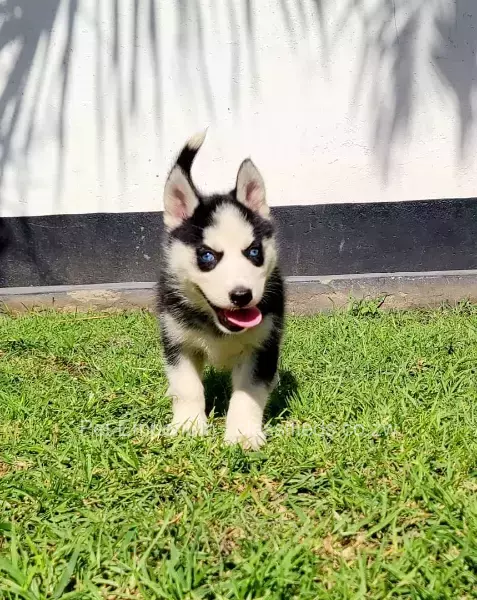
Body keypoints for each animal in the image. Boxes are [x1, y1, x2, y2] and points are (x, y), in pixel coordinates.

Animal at [157, 132, 282, 450]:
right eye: (207, 256)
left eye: (254, 252)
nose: (241, 295)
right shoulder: (178, 342)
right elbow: (187, 387)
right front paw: (188, 426)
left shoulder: (262, 346)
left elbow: (248, 393)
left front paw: (243, 434)